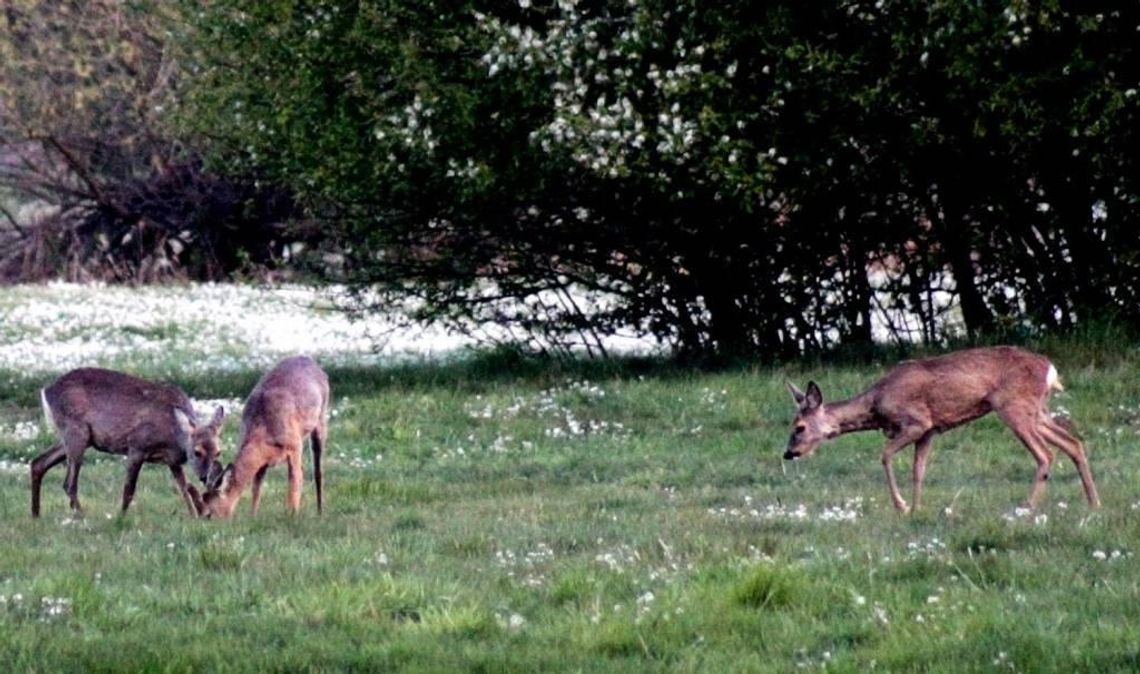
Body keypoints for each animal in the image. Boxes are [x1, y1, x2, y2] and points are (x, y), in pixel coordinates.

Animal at [31, 369, 225, 517]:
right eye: (197, 452)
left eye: (218, 452)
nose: (207, 478)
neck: (173, 434)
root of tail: (47, 390)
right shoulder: (136, 446)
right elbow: (129, 489)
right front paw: (121, 518)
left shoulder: (172, 461)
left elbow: (184, 489)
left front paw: (194, 516)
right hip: (76, 431)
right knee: (69, 483)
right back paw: (81, 516)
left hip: (78, 437)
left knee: (38, 462)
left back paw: (36, 514)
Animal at [188, 355, 330, 520]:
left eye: (209, 514)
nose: (204, 521)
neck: (263, 430)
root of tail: (311, 361)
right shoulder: (262, 459)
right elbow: (257, 487)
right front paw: (253, 516)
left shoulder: (295, 445)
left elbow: (294, 480)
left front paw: (292, 516)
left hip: (321, 420)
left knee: (317, 470)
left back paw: (320, 512)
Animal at [788, 348, 1098, 510]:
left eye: (799, 427)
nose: (788, 454)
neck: (876, 403)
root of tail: (1050, 369)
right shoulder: (930, 432)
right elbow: (918, 470)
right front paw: (916, 510)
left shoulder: (917, 422)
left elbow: (885, 456)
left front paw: (901, 506)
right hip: (1038, 411)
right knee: (1074, 444)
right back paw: (1094, 503)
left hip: (1014, 407)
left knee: (1046, 454)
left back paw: (1027, 508)